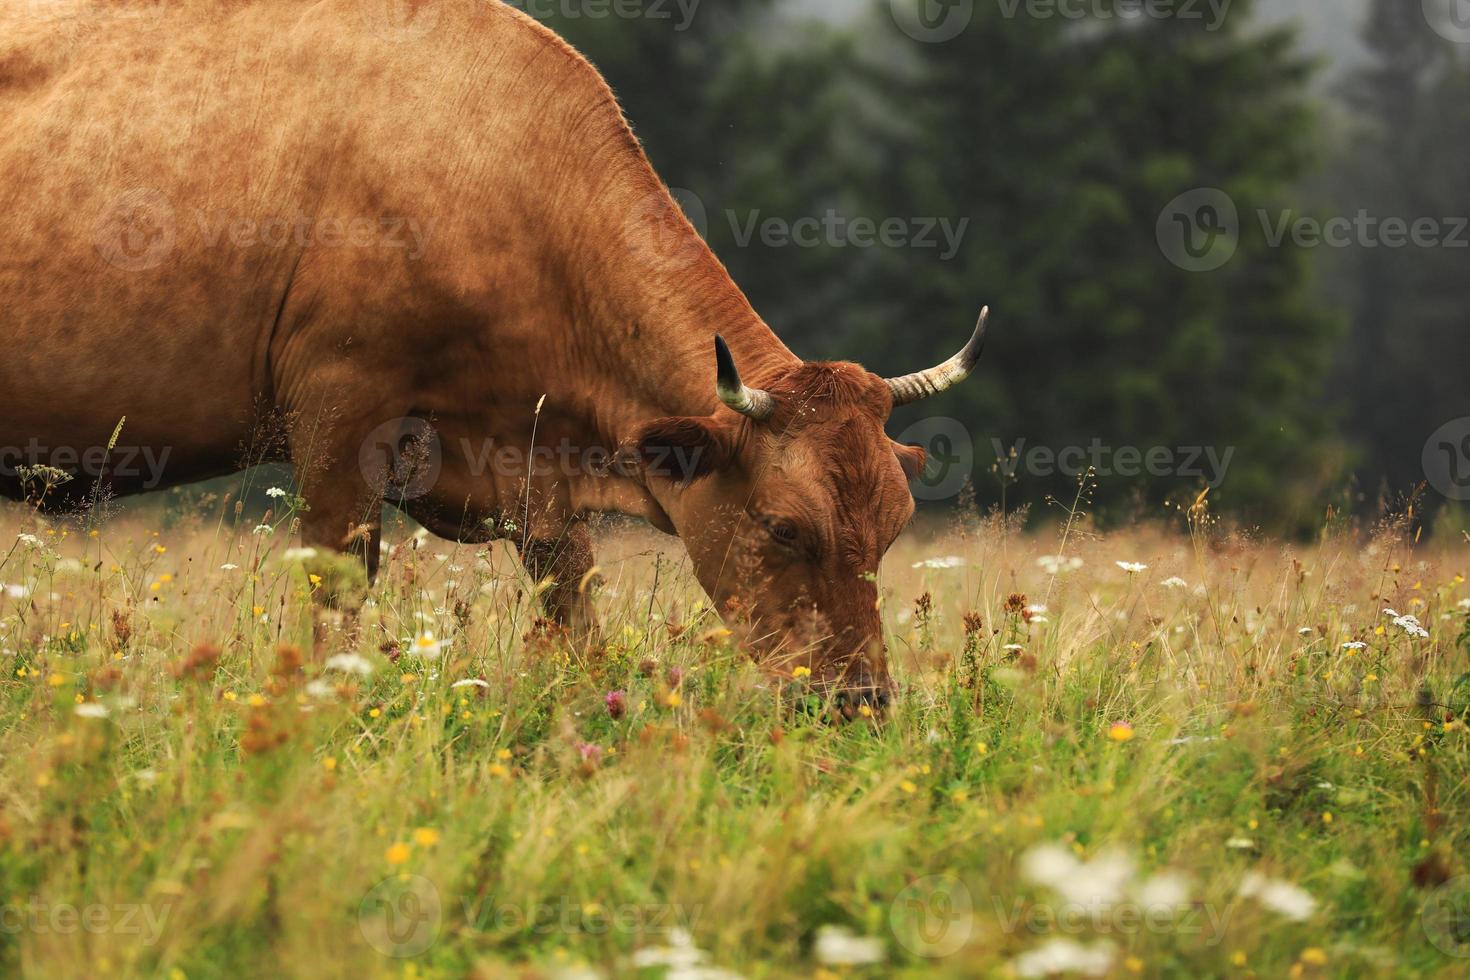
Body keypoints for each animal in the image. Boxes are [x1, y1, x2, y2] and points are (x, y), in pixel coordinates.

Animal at [2, 1, 987, 705]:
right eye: (784, 526)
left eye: (896, 524)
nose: (859, 701)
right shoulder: (338, 411)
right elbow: (335, 605)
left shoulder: (535, 483)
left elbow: (578, 624)